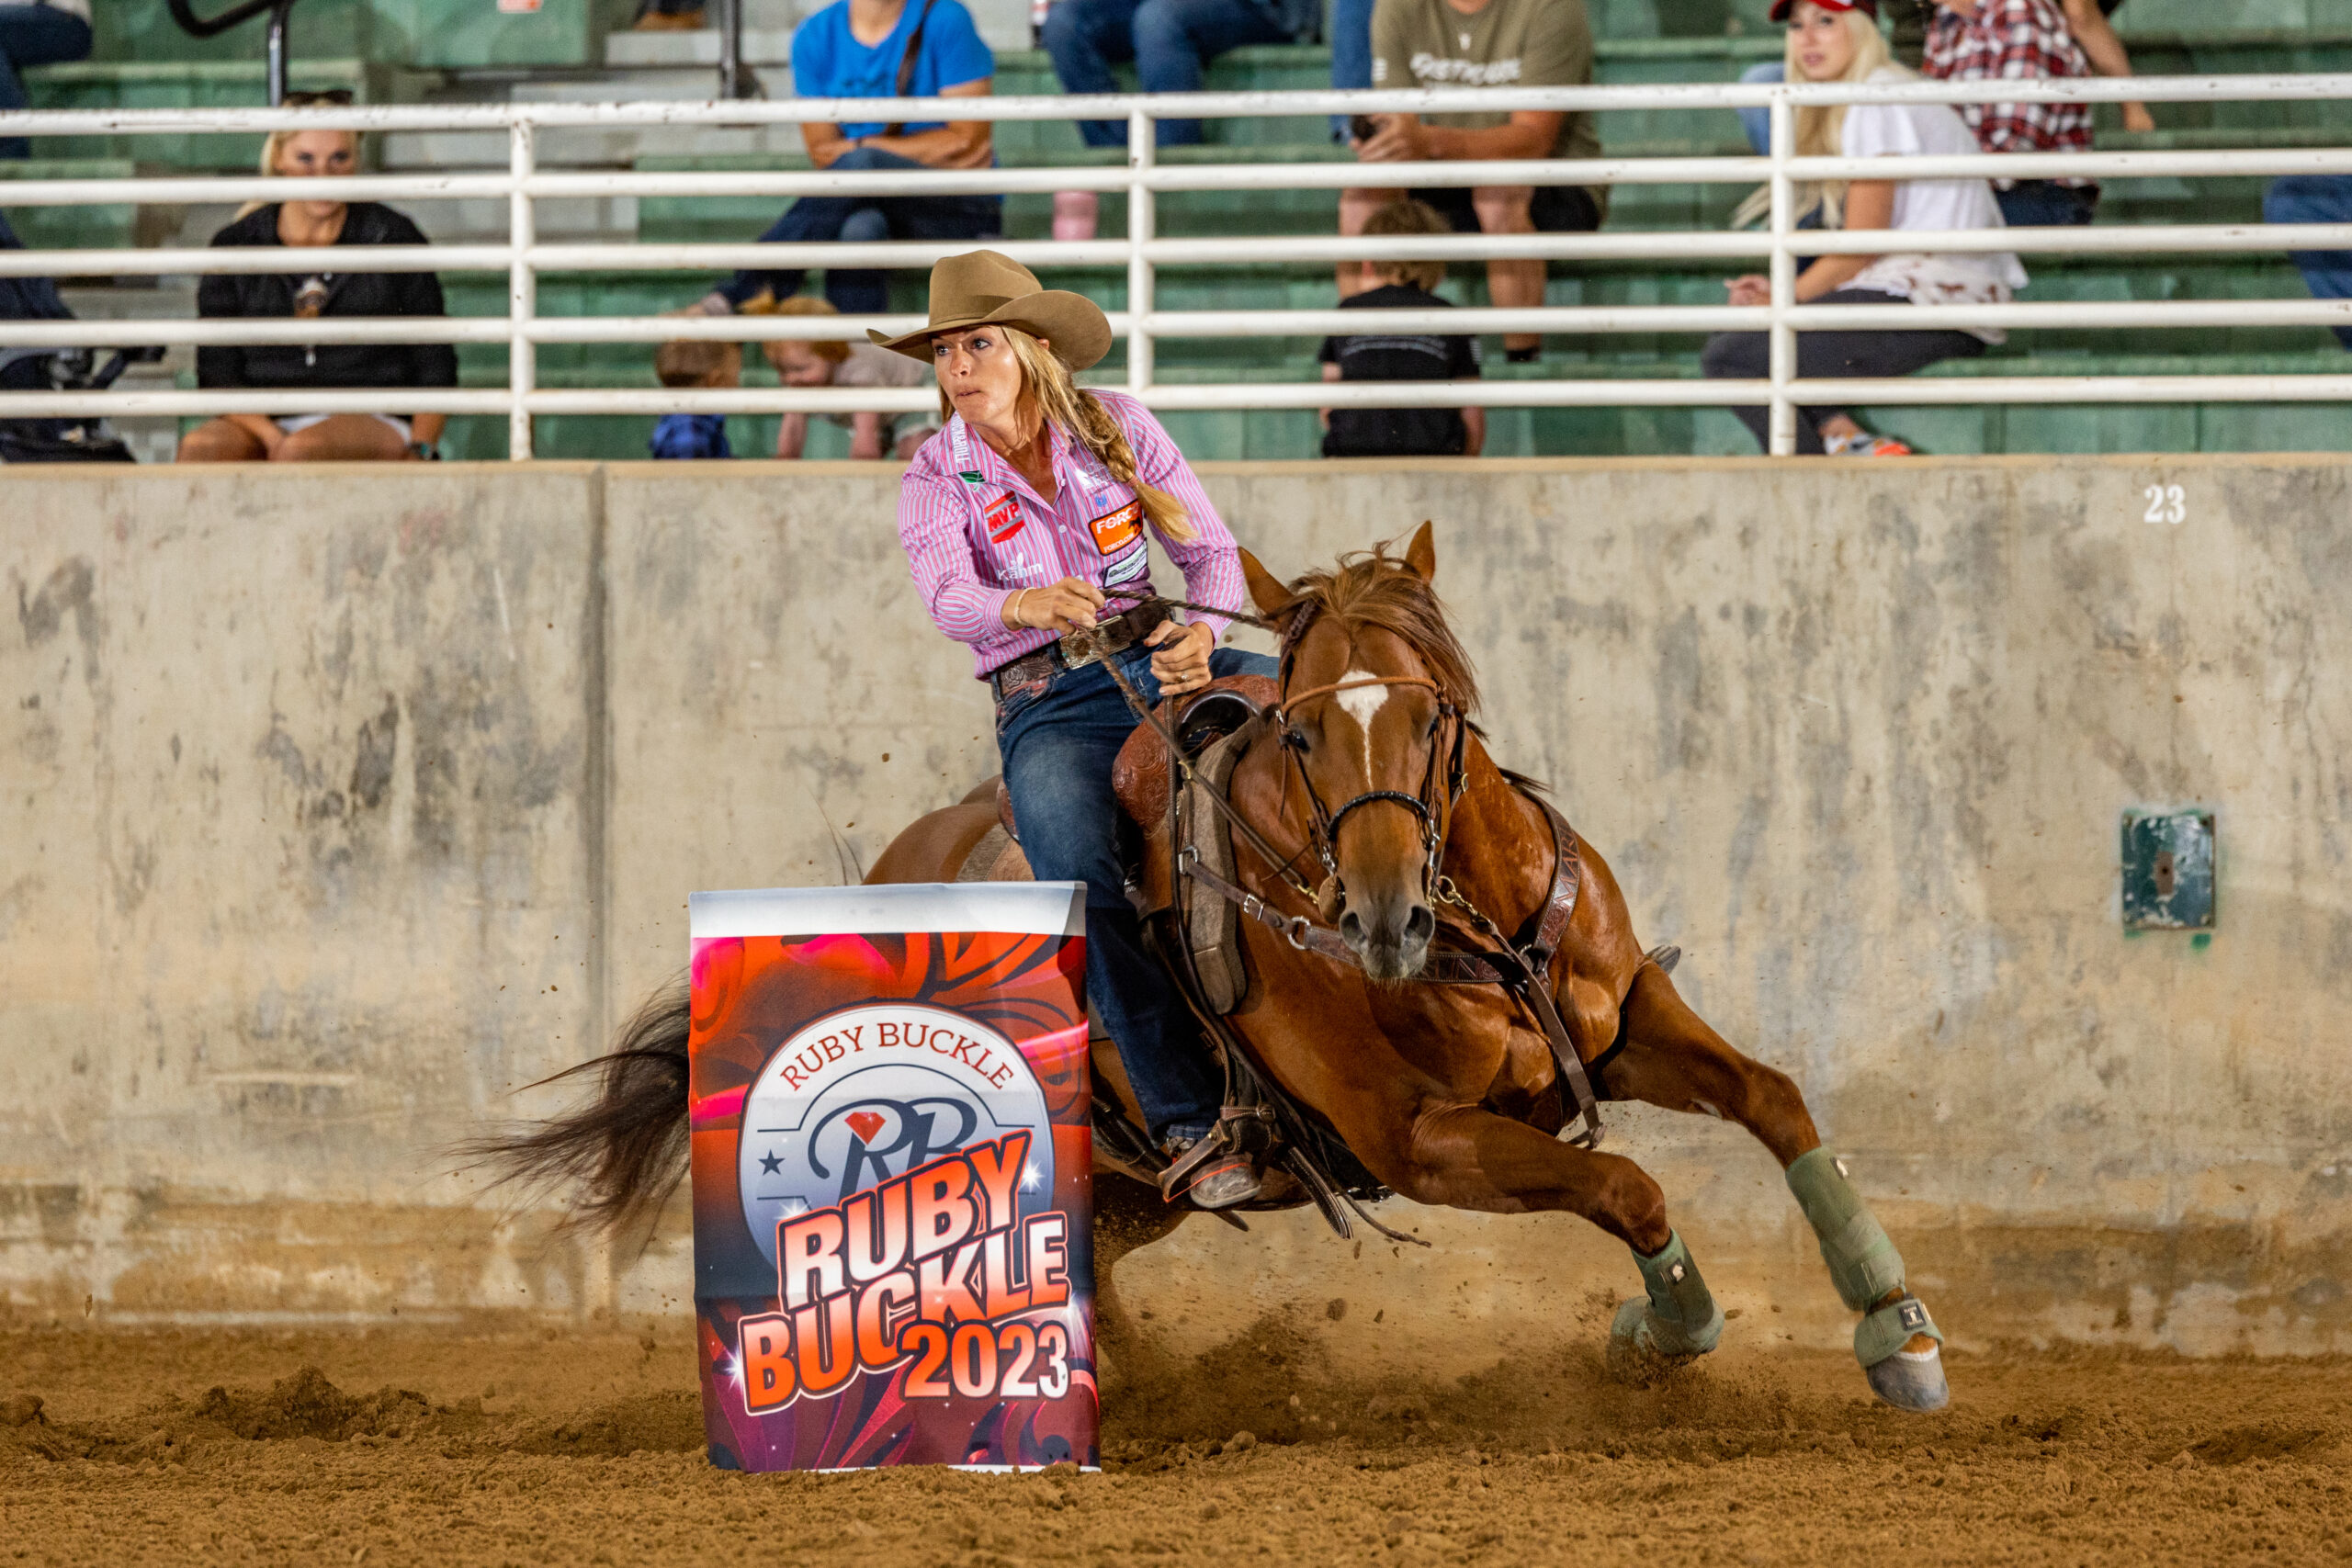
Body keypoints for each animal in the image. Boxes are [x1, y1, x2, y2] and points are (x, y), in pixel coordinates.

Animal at [477, 524, 1947, 1410]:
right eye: (1301, 733)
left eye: (1433, 716)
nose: (1382, 918)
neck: (1469, 922)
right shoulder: (1422, 1142)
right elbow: (1627, 1183)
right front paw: (1662, 1337)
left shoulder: (1627, 1015)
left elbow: (1775, 1100)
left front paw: (1899, 1332)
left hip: (1140, 1189)